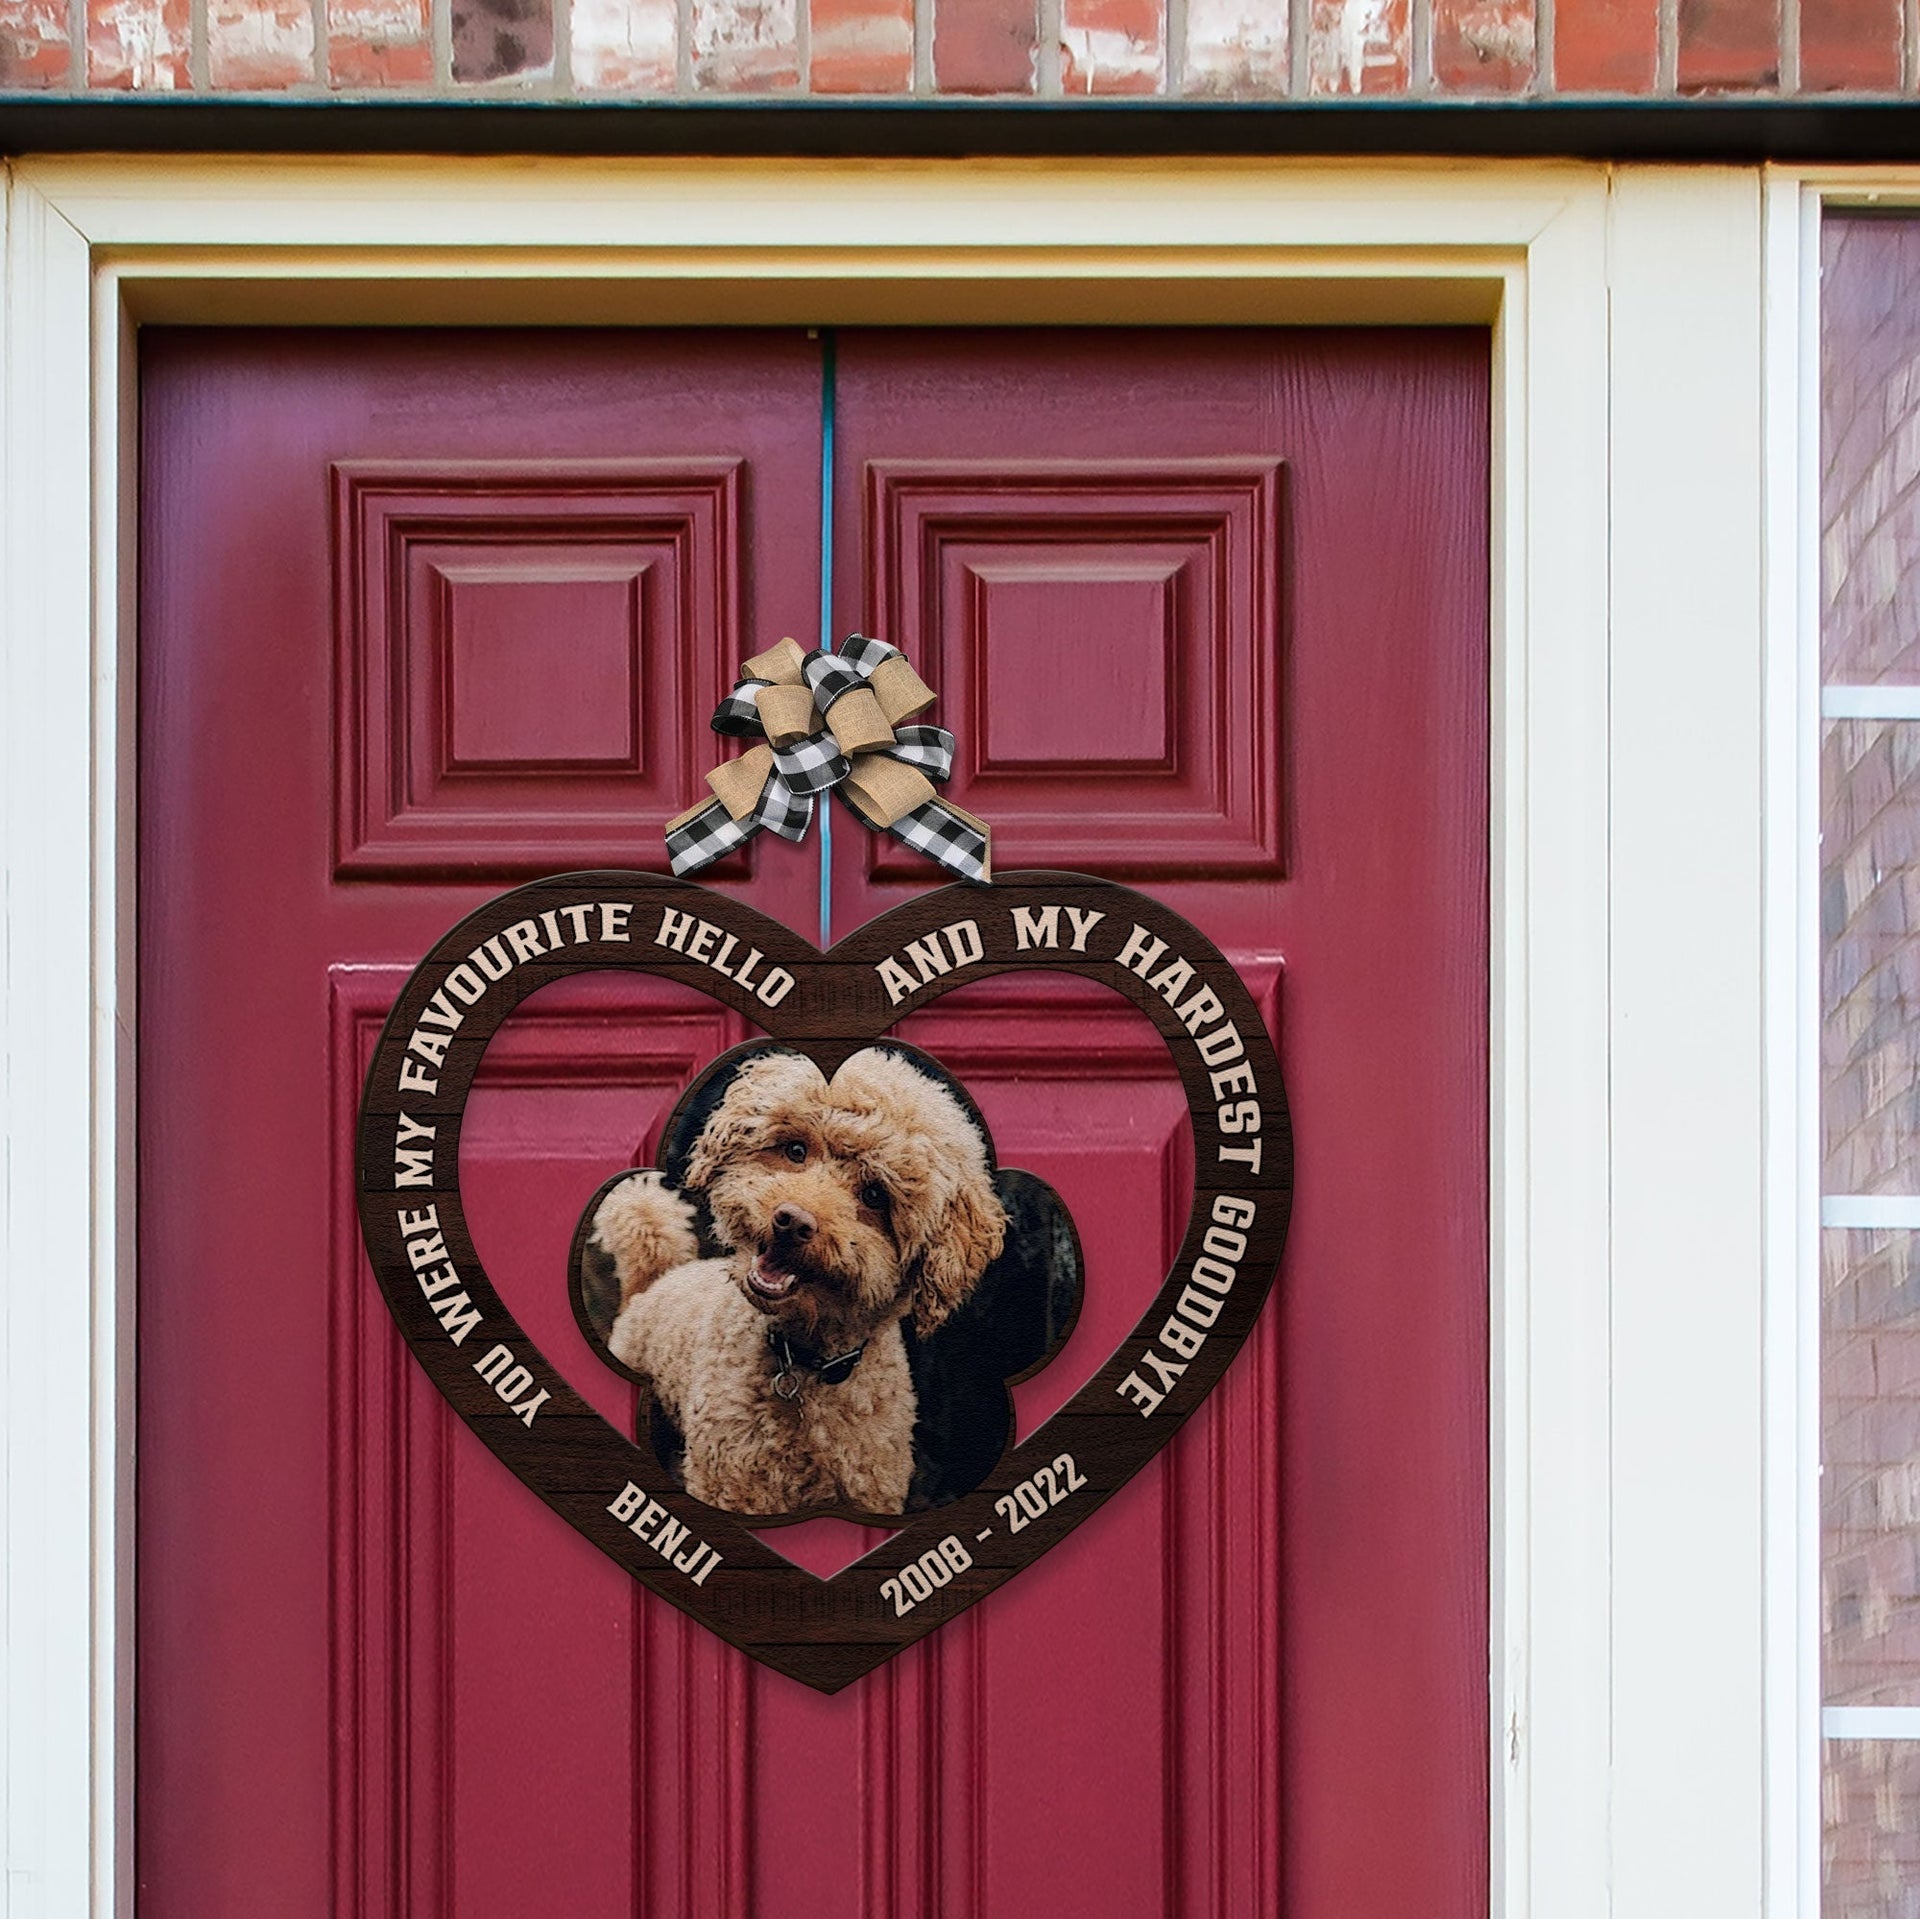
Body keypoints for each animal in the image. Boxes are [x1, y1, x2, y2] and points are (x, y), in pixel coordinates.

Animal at [591, 1052, 1006, 1513]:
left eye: (875, 1195)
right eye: (795, 1150)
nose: (791, 1221)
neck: (803, 1361)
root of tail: (655, 1281)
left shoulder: (871, 1488)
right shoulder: (734, 1485)